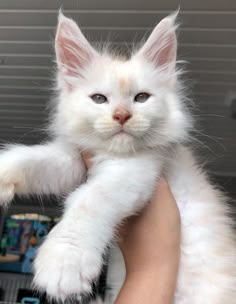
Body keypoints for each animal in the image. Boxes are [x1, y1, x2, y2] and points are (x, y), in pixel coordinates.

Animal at [0, 10, 235, 302]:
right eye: (99, 99)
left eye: (142, 98)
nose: (122, 115)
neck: (113, 153)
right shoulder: (74, 161)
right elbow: (31, 159)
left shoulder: (134, 171)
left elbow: (90, 200)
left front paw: (64, 260)